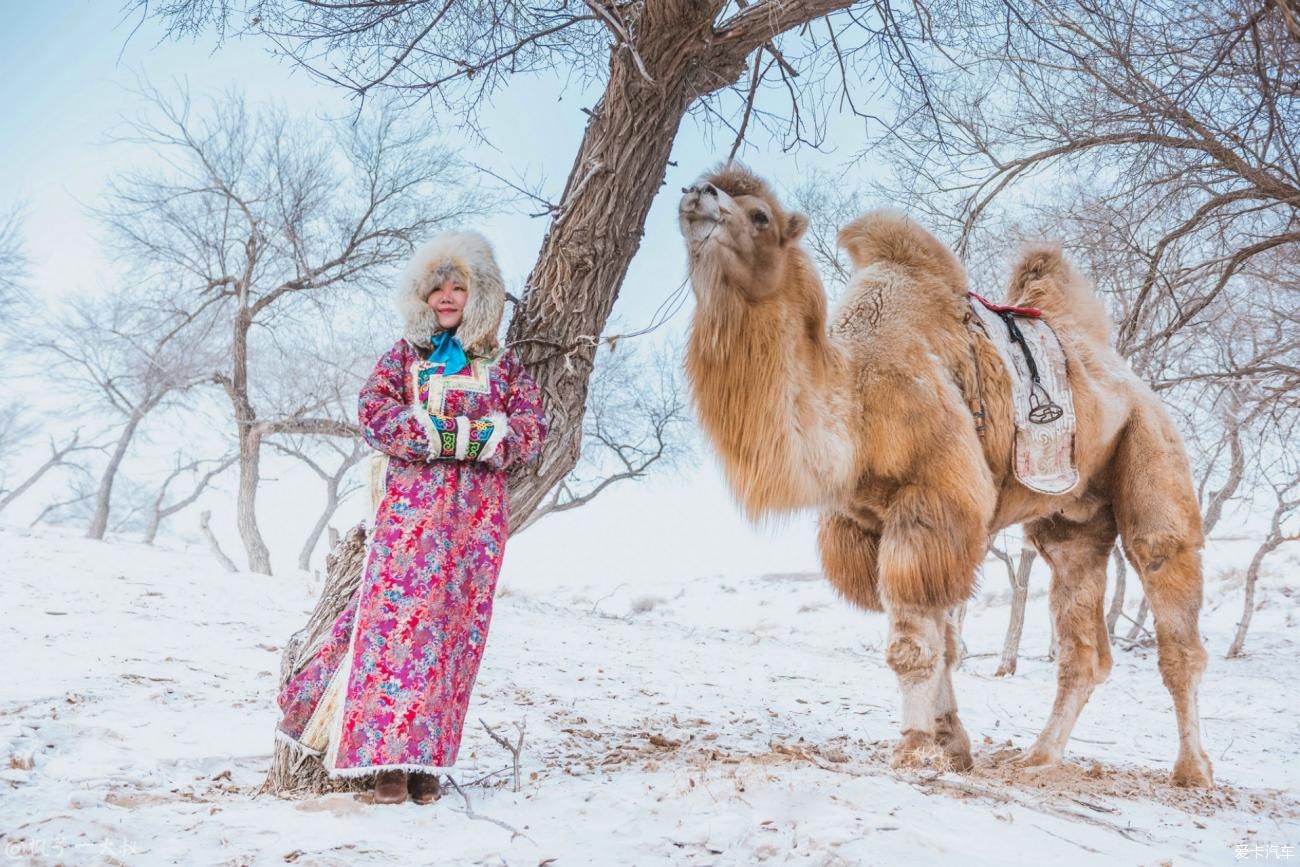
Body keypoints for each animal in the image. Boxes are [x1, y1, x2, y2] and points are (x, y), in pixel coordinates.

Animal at [676, 166, 1211, 790]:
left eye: (759, 214)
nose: (696, 194)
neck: (856, 397)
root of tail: (1125, 374)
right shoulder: (871, 524)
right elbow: (943, 640)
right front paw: (952, 746)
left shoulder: (932, 502)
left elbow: (913, 643)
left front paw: (911, 748)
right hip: (1071, 521)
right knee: (1082, 647)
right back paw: (1039, 757)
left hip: (1151, 448)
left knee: (1168, 591)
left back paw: (1193, 771)